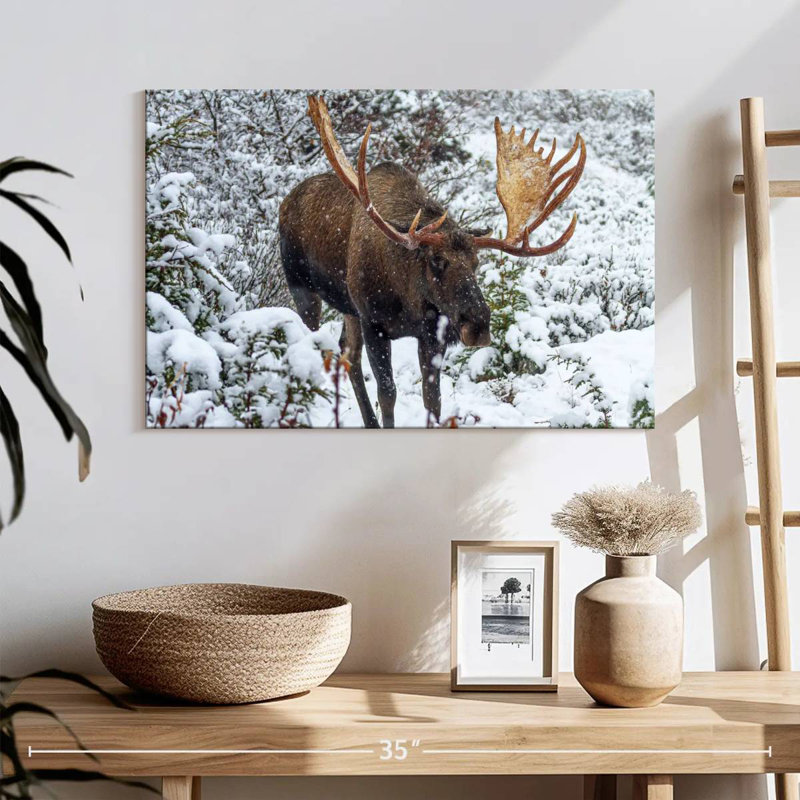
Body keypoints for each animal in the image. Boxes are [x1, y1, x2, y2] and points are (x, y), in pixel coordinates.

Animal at [278, 95, 586, 427]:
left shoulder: (431, 333)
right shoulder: (374, 322)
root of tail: (285, 201)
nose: (478, 323)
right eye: (437, 260)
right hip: (302, 287)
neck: (407, 299)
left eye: (476, 262)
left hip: (348, 309)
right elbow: (388, 393)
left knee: (347, 352)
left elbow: (433, 400)